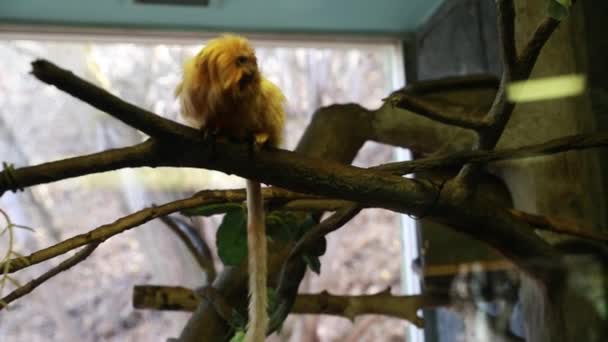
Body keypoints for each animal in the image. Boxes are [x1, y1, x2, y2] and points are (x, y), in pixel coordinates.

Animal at [175, 33, 286, 340]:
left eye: (251, 60)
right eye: (241, 61)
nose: (252, 69)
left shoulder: (253, 95)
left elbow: (265, 94)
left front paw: (259, 135)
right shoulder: (196, 94)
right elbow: (207, 120)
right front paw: (211, 131)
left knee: (269, 98)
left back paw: (260, 137)